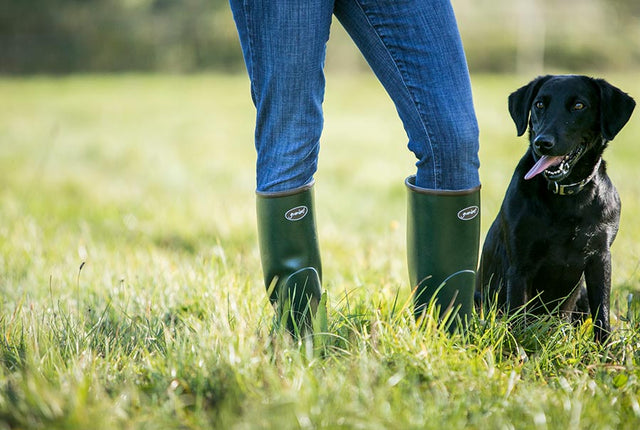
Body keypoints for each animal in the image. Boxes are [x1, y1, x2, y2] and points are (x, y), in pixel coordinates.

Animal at [476, 75, 636, 340]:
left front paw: (606, 351)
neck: (569, 199)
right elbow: (518, 318)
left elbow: (602, 314)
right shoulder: (520, 266)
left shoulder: (600, 259)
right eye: (539, 104)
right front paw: (518, 348)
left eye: (579, 106)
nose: (543, 143)